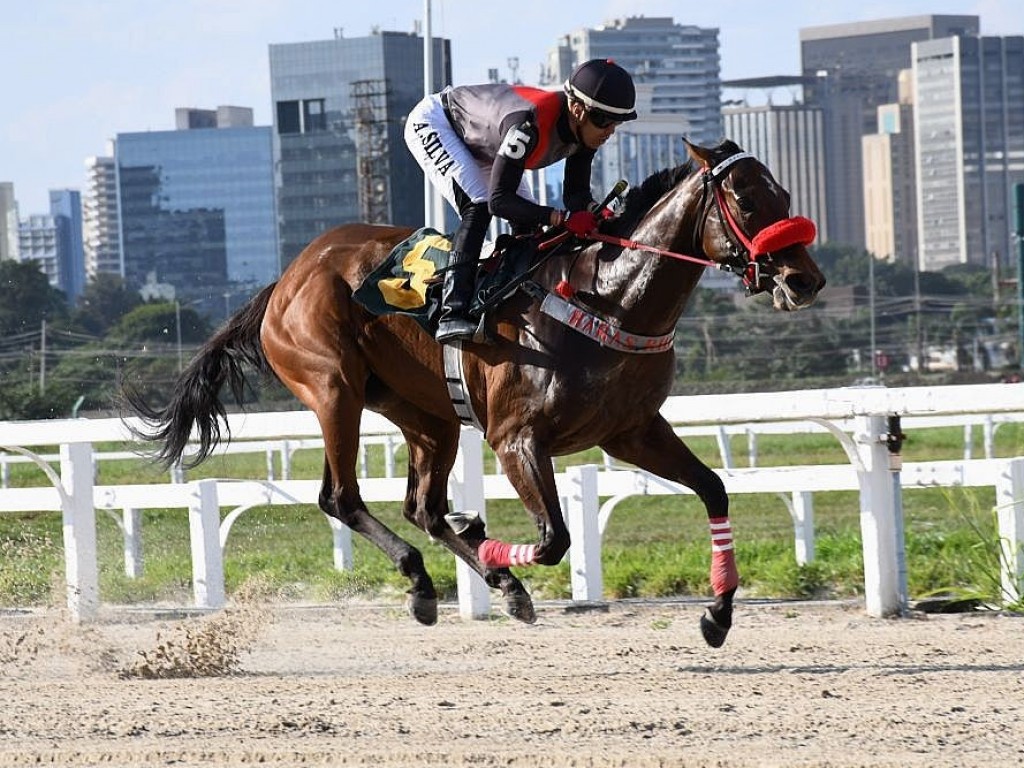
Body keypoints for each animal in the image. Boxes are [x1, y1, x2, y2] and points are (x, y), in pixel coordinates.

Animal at [125, 140, 823, 651]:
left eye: (784, 193)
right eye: (745, 200)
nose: (804, 280)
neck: (608, 298)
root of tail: (285, 278)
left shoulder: (633, 430)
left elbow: (714, 489)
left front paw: (718, 614)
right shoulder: (517, 438)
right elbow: (554, 538)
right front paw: (490, 542)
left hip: (426, 414)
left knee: (423, 508)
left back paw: (475, 580)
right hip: (332, 389)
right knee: (342, 497)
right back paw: (437, 578)